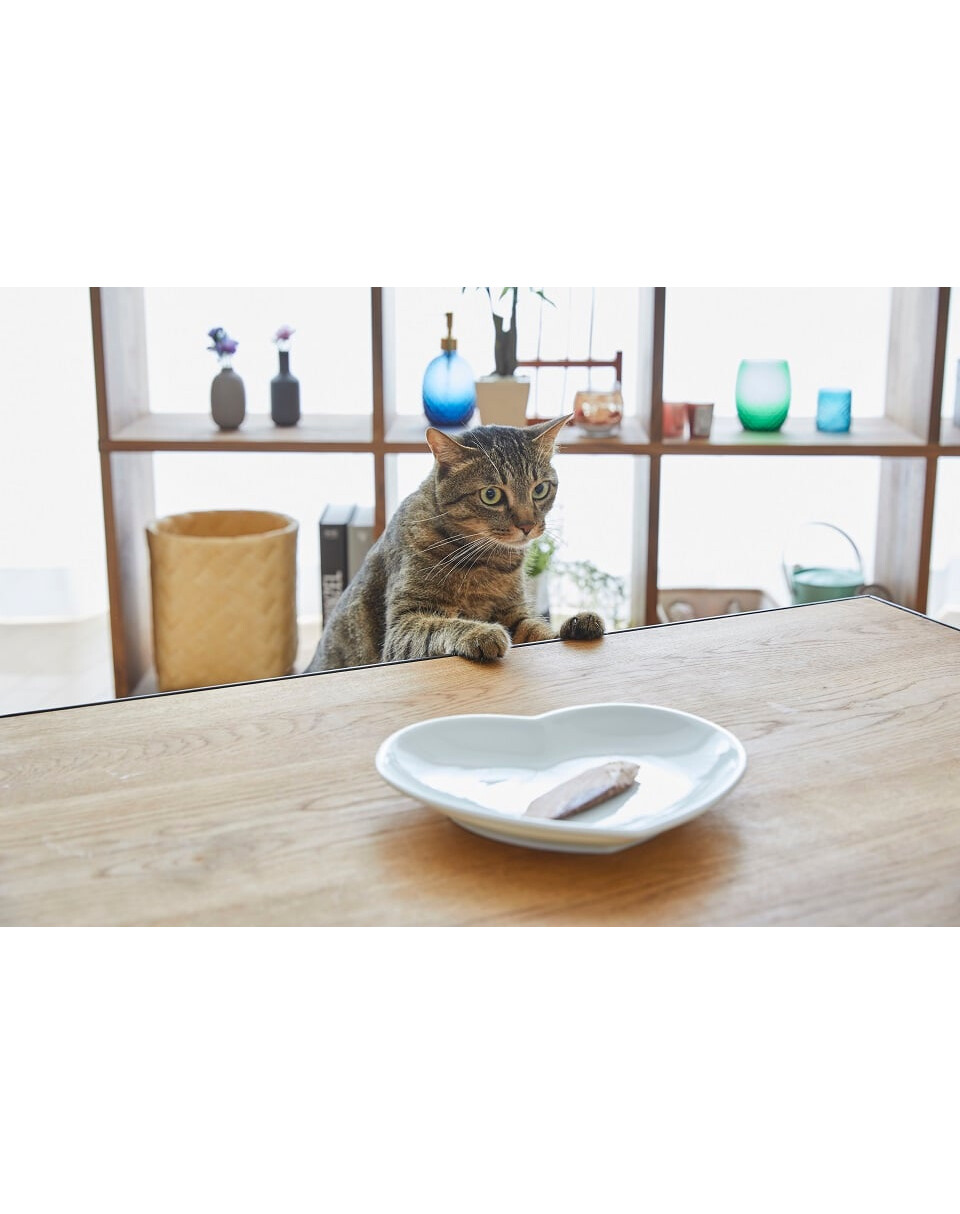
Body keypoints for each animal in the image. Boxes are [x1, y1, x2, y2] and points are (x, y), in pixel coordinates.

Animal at [304, 415, 605, 673]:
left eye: (540, 489)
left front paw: (573, 625)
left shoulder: (514, 614)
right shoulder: (403, 624)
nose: (527, 526)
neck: (487, 561)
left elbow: (538, 630)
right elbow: (442, 626)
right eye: (491, 495)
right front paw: (481, 631)